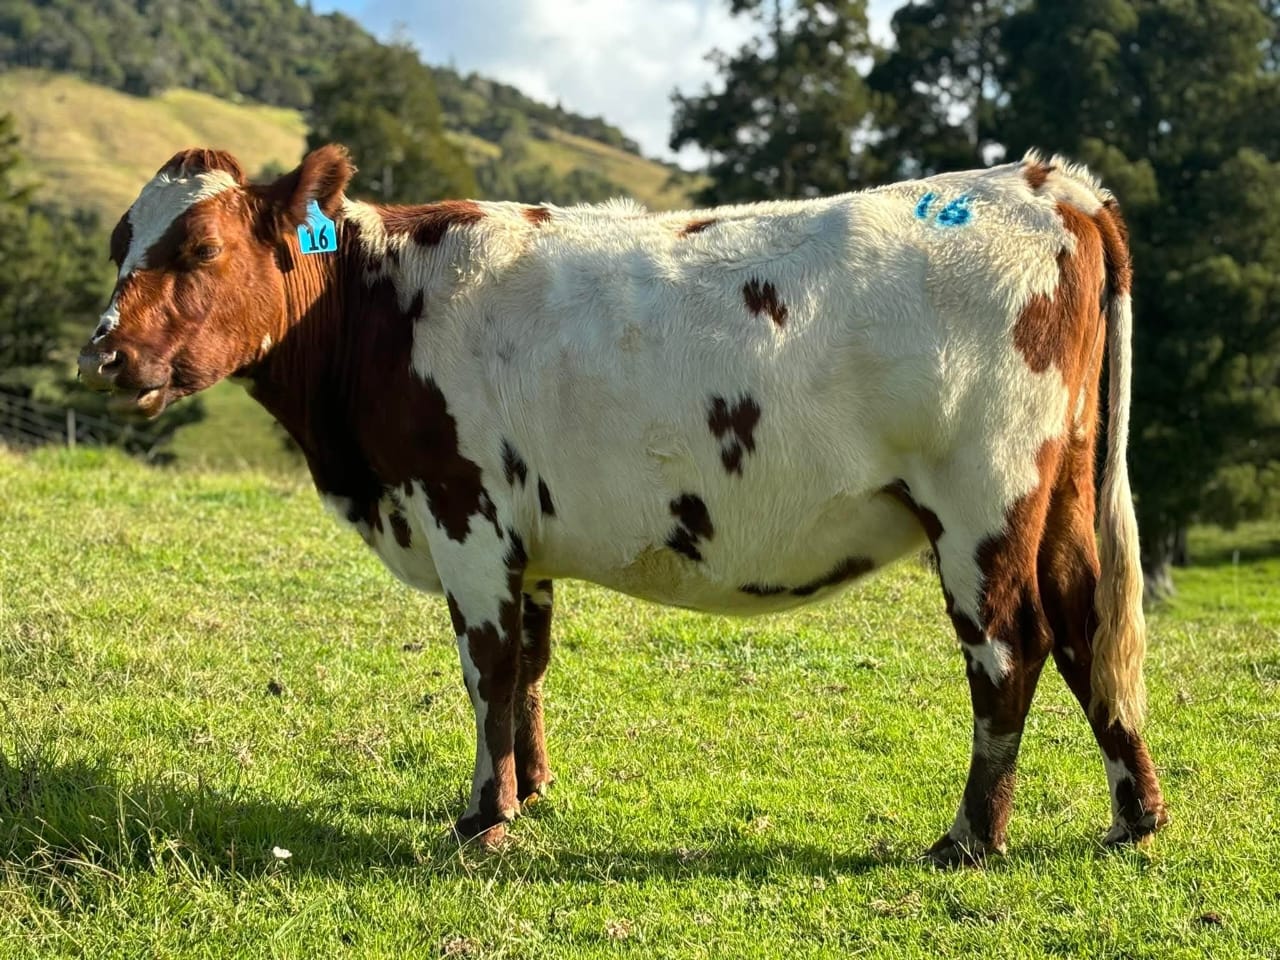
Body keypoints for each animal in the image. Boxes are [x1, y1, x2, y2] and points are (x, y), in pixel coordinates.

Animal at [77, 144, 1167, 865]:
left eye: (200, 251)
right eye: (120, 242)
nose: (104, 353)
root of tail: (1043, 181)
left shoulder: (463, 509)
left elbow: (486, 667)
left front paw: (484, 819)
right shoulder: (523, 536)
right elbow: (527, 666)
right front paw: (531, 789)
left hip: (981, 498)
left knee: (1010, 650)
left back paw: (969, 838)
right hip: (1060, 491)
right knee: (1087, 628)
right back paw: (1134, 814)